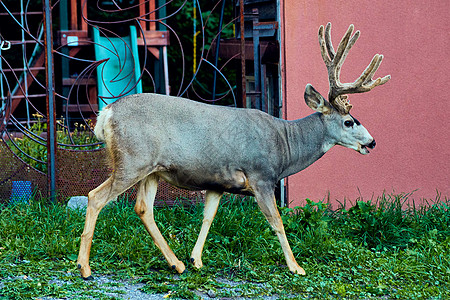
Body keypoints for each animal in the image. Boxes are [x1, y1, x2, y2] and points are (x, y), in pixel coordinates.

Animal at [76, 22, 390, 278]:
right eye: (349, 121)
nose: (373, 142)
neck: (285, 146)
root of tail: (106, 114)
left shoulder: (218, 182)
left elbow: (208, 217)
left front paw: (196, 260)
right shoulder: (261, 176)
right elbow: (277, 222)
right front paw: (296, 266)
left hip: (152, 169)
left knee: (143, 208)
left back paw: (176, 264)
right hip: (132, 160)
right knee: (95, 197)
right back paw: (84, 267)